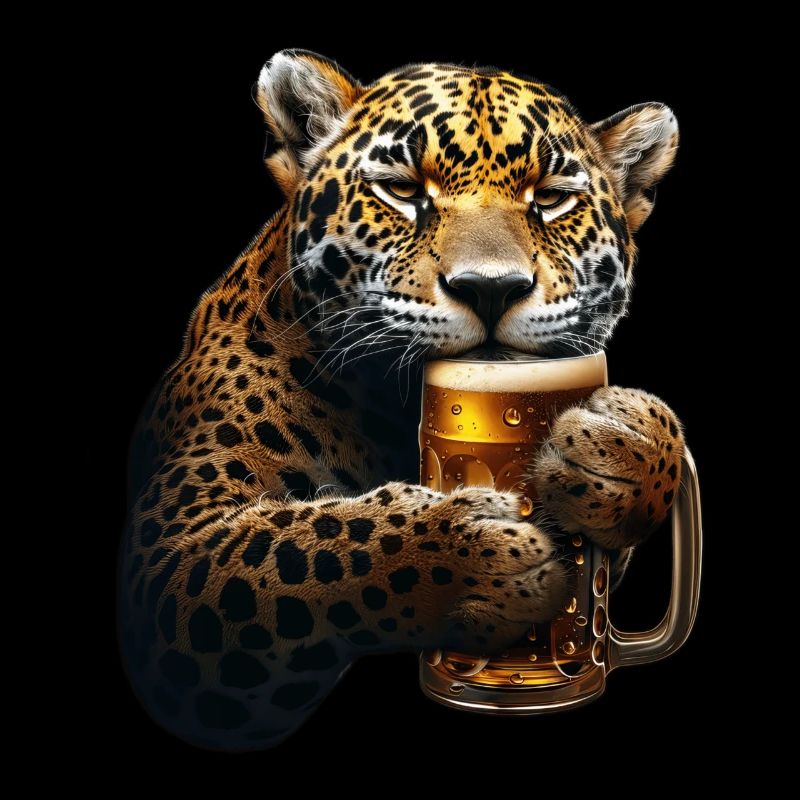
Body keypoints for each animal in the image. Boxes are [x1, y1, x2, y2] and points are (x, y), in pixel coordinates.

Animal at [119, 49, 684, 751]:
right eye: (403, 189)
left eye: (552, 199)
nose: (491, 288)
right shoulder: (168, 560)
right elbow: (304, 548)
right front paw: (472, 553)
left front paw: (625, 448)